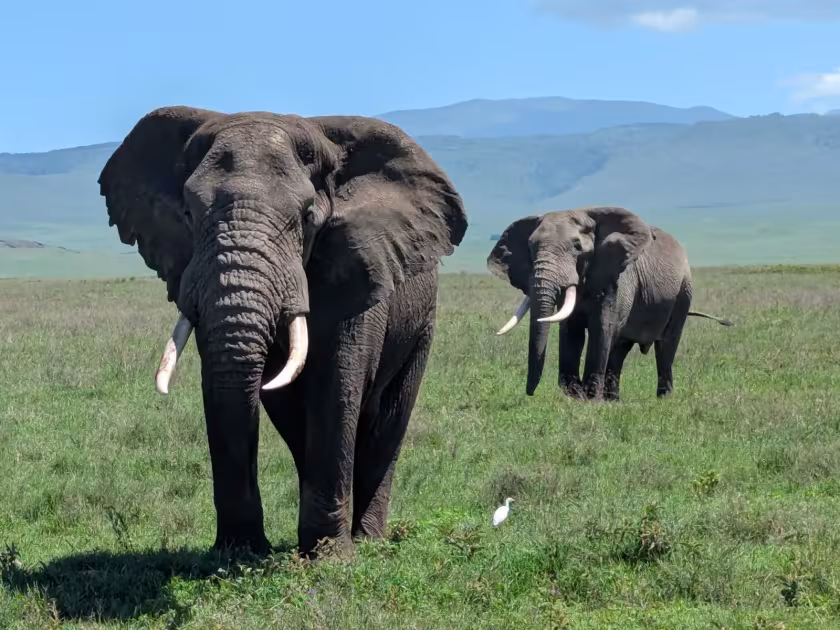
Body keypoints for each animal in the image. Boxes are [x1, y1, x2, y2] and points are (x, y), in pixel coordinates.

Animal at [98, 106, 468, 557]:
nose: (241, 546)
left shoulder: (354, 265)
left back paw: (368, 541)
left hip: (423, 321)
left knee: (389, 420)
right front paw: (239, 553)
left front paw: (327, 559)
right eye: (188, 214)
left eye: (307, 218)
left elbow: (337, 381)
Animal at [487, 206, 731, 401]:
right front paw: (575, 394)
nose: (529, 393)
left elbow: (601, 328)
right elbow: (571, 333)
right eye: (530, 248)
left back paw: (663, 398)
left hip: (683, 292)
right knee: (620, 349)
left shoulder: (617, 279)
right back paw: (613, 399)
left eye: (577, 247)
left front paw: (589, 399)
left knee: (666, 346)